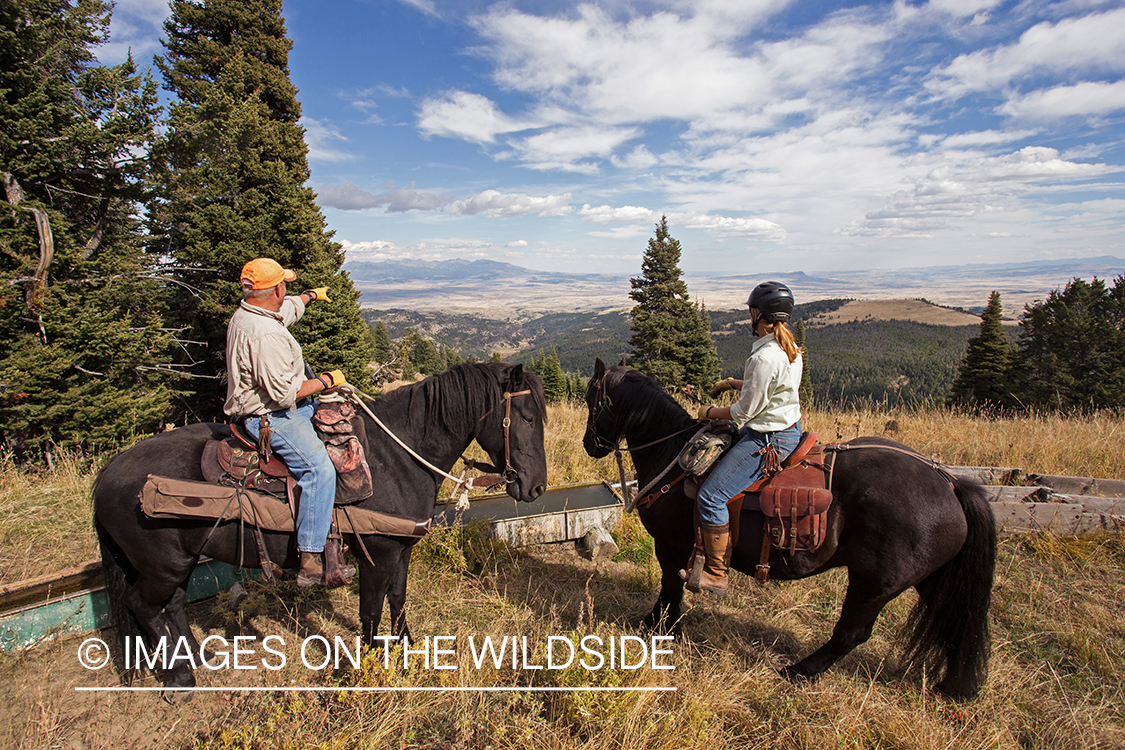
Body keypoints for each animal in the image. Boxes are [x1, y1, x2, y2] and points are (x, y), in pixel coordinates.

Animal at [94, 359, 546, 697]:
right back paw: (180, 678)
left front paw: (410, 648)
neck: (397, 458)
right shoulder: (376, 555)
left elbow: (398, 600)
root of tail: (105, 475)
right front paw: (369, 666)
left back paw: (194, 658)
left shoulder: (401, 549)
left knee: (172, 604)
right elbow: (370, 611)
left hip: (178, 560)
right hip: (161, 564)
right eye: (525, 417)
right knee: (143, 606)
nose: (536, 488)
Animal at [585, 359, 999, 701]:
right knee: (955, 624)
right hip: (931, 581)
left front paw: (659, 628)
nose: (591, 445)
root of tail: (949, 482)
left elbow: (671, 586)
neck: (672, 454)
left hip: (873, 585)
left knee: (851, 634)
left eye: (593, 400)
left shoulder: (671, 544)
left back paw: (799, 671)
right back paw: (954, 686)